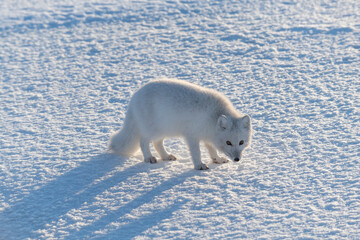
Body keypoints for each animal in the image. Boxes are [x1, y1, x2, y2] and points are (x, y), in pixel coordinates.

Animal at [108, 78, 252, 170]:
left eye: (241, 142)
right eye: (228, 142)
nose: (237, 159)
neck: (214, 116)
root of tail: (135, 96)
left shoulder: (207, 136)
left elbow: (212, 150)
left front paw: (218, 159)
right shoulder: (192, 136)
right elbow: (197, 152)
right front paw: (199, 165)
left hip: (163, 130)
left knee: (157, 143)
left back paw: (166, 156)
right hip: (152, 130)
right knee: (143, 142)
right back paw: (149, 158)